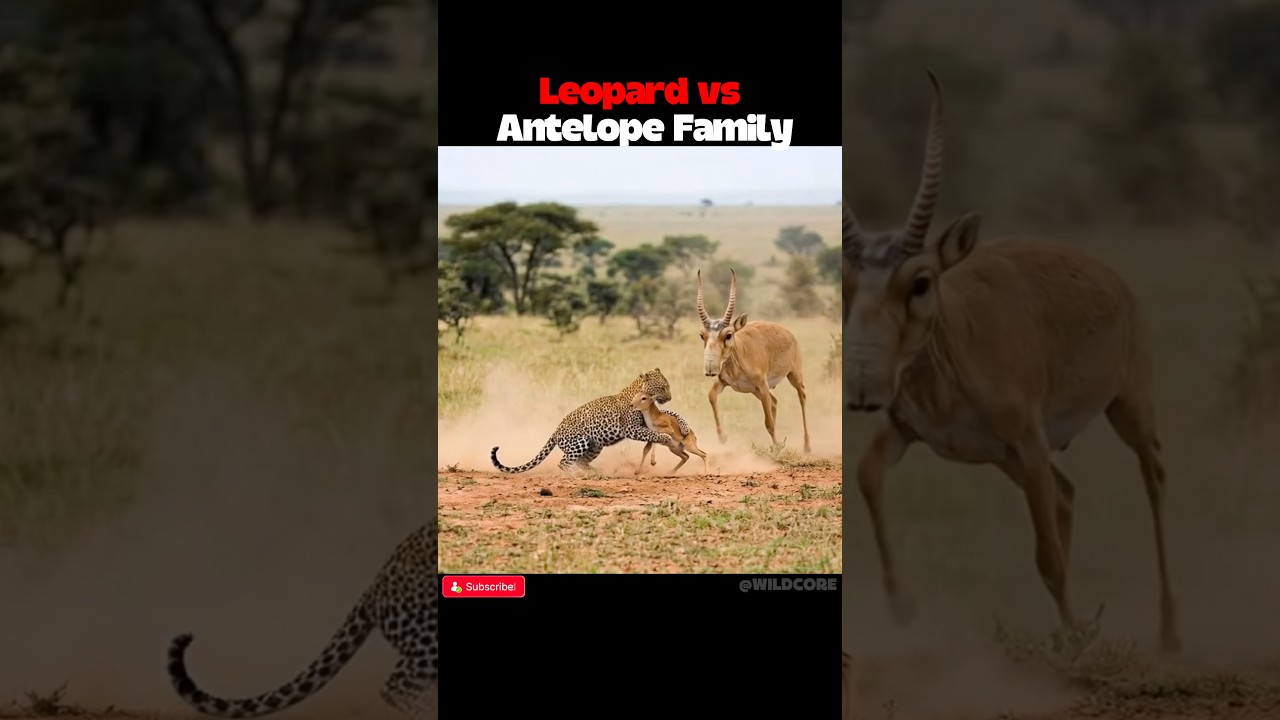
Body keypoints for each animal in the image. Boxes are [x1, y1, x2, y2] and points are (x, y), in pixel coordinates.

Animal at [491, 367, 692, 475]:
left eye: (667, 386)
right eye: (662, 387)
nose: (670, 397)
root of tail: (555, 431)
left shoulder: (651, 415)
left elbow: (672, 413)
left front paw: (684, 427)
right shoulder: (632, 428)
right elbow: (653, 433)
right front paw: (666, 438)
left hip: (595, 445)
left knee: (581, 461)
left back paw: (594, 472)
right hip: (579, 442)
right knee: (564, 462)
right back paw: (579, 475)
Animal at [697, 269, 812, 453]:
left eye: (728, 335)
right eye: (702, 335)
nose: (710, 369)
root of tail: (788, 333)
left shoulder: (763, 386)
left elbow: (768, 422)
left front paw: (778, 447)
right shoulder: (724, 382)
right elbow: (711, 396)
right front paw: (722, 438)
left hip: (793, 376)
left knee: (802, 397)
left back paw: (807, 446)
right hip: (754, 391)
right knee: (774, 402)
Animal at [843, 70, 1181, 653]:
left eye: (920, 282)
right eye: (846, 284)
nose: (864, 386)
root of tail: (1111, 276)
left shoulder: (1027, 439)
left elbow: (1047, 557)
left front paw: (1077, 635)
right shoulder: (911, 430)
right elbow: (866, 475)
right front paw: (903, 607)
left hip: (1125, 409)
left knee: (1153, 474)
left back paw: (1168, 634)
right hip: (1010, 459)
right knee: (1067, 494)